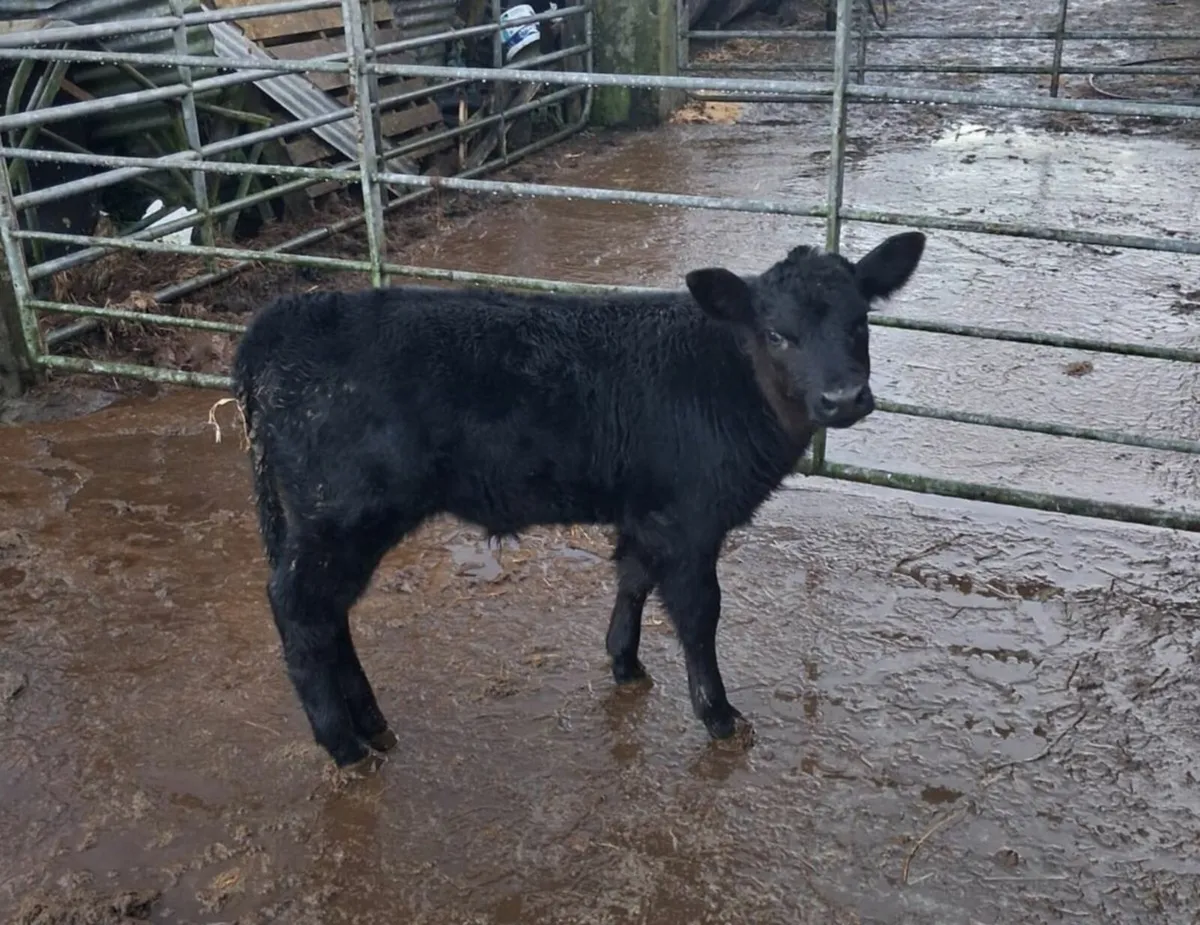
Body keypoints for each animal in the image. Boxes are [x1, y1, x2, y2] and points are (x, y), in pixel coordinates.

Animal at [231, 230, 927, 770]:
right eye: (778, 334)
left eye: (860, 322)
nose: (843, 398)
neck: (726, 375)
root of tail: (285, 319)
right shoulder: (689, 518)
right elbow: (700, 614)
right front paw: (719, 715)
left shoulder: (646, 511)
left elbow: (633, 577)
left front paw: (625, 663)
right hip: (343, 514)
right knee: (299, 610)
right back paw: (344, 745)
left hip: (325, 520)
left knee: (329, 614)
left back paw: (371, 723)